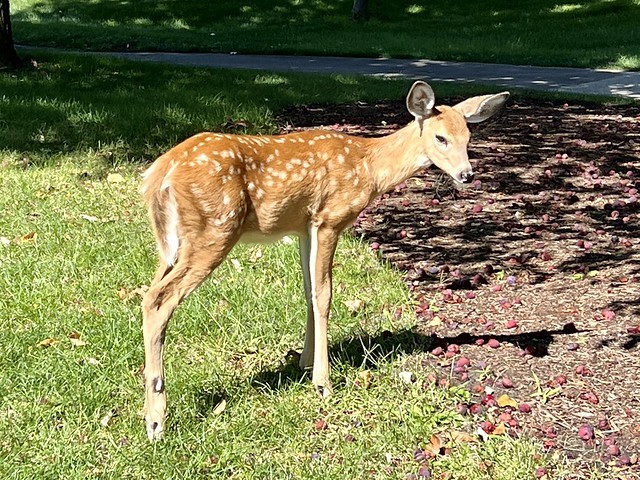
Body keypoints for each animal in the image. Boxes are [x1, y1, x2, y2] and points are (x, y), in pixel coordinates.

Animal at [140, 81, 509, 440]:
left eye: (468, 137)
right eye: (440, 137)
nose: (466, 174)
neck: (370, 168)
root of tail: (160, 172)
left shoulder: (304, 225)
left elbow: (308, 291)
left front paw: (304, 362)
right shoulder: (330, 218)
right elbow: (325, 294)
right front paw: (323, 382)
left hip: (173, 242)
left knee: (147, 292)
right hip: (214, 228)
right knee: (158, 299)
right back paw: (156, 420)